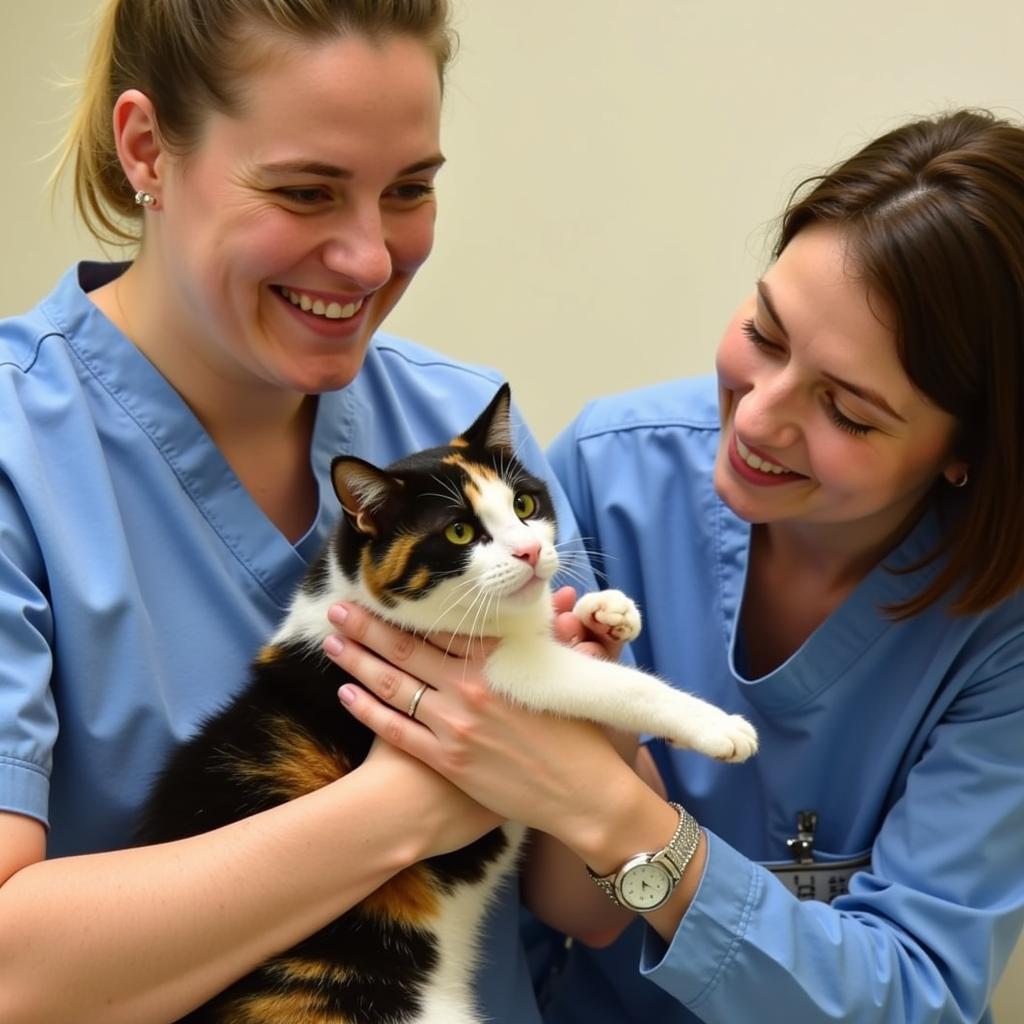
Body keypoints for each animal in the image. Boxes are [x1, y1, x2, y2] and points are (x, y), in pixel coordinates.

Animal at [136, 385, 757, 1024]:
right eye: (459, 533)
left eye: (525, 504)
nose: (530, 550)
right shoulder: (498, 674)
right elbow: (607, 683)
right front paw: (714, 724)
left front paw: (605, 612)